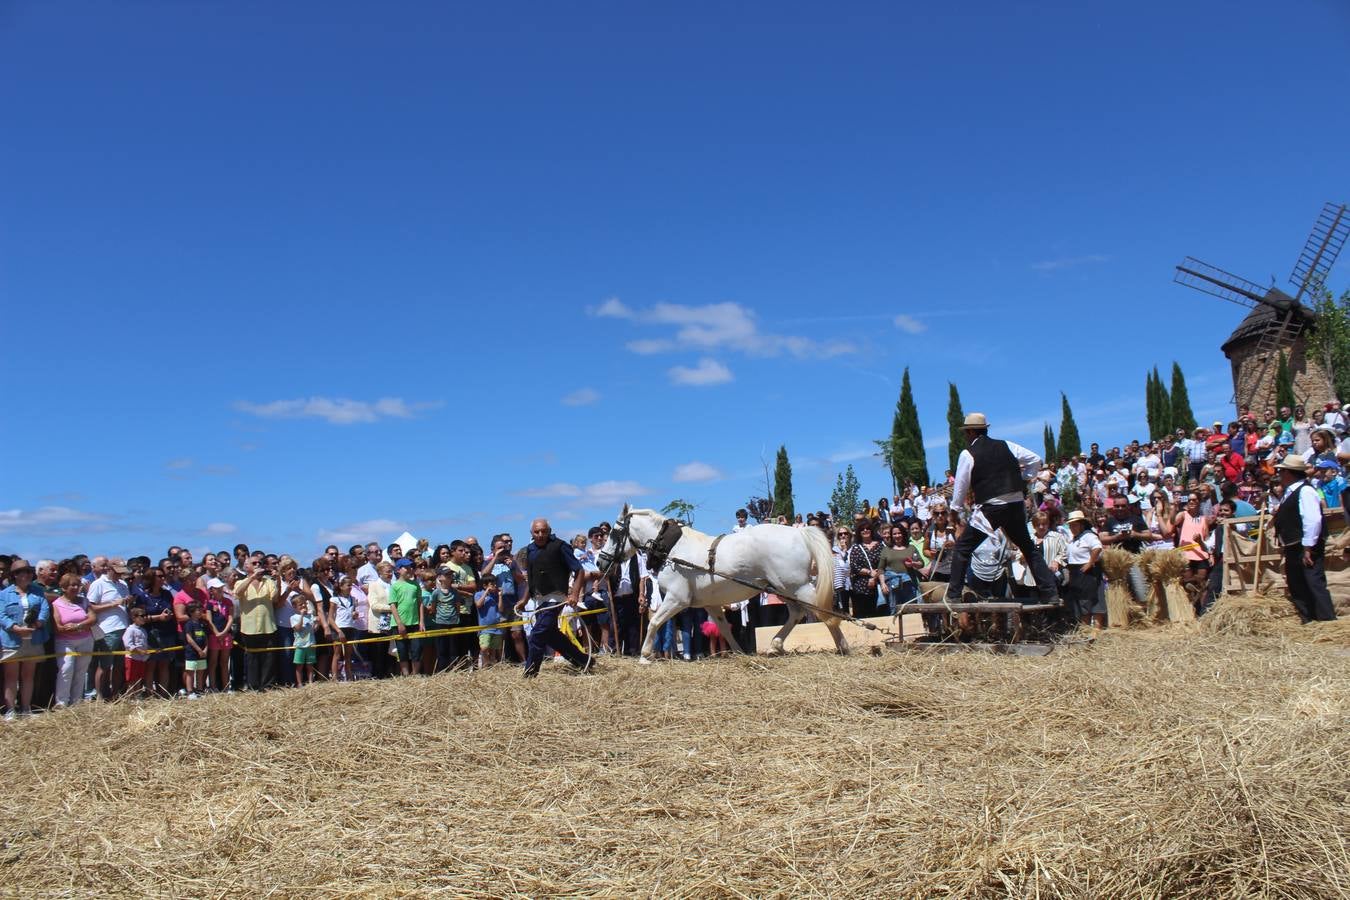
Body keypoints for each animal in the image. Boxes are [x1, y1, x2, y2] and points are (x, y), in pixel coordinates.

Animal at [596, 507, 847, 661]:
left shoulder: (677, 599)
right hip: (783, 588)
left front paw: (645, 655)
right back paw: (775, 645)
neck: (673, 551)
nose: (600, 561)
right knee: (797, 613)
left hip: (797, 587)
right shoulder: (710, 604)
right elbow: (724, 628)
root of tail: (800, 534)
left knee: (826, 613)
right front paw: (738, 651)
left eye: (615, 533)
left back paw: (842, 645)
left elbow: (654, 622)